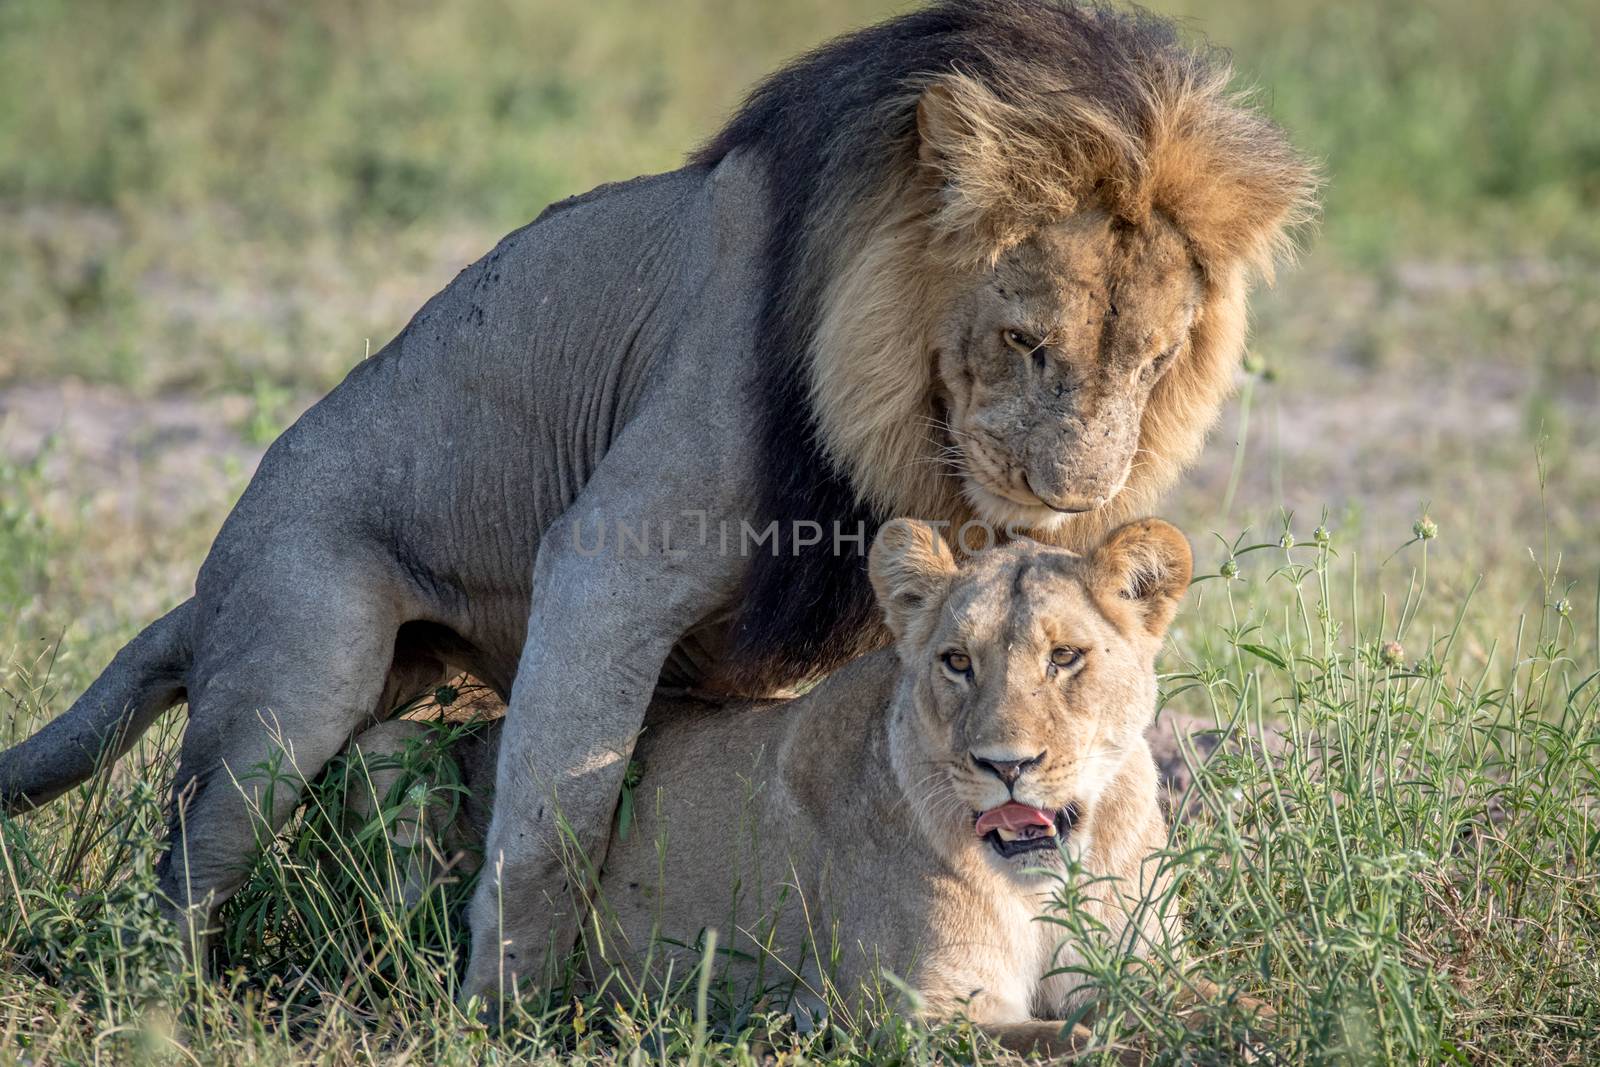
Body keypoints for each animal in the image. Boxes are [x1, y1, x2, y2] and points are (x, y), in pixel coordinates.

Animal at [353, 515, 1203, 1049]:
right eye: (958, 661)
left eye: (1065, 657)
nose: (1005, 765)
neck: (1044, 880)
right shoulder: (905, 1008)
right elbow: (1081, 1038)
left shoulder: (1152, 965)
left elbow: (1188, 1003)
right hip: (396, 749)